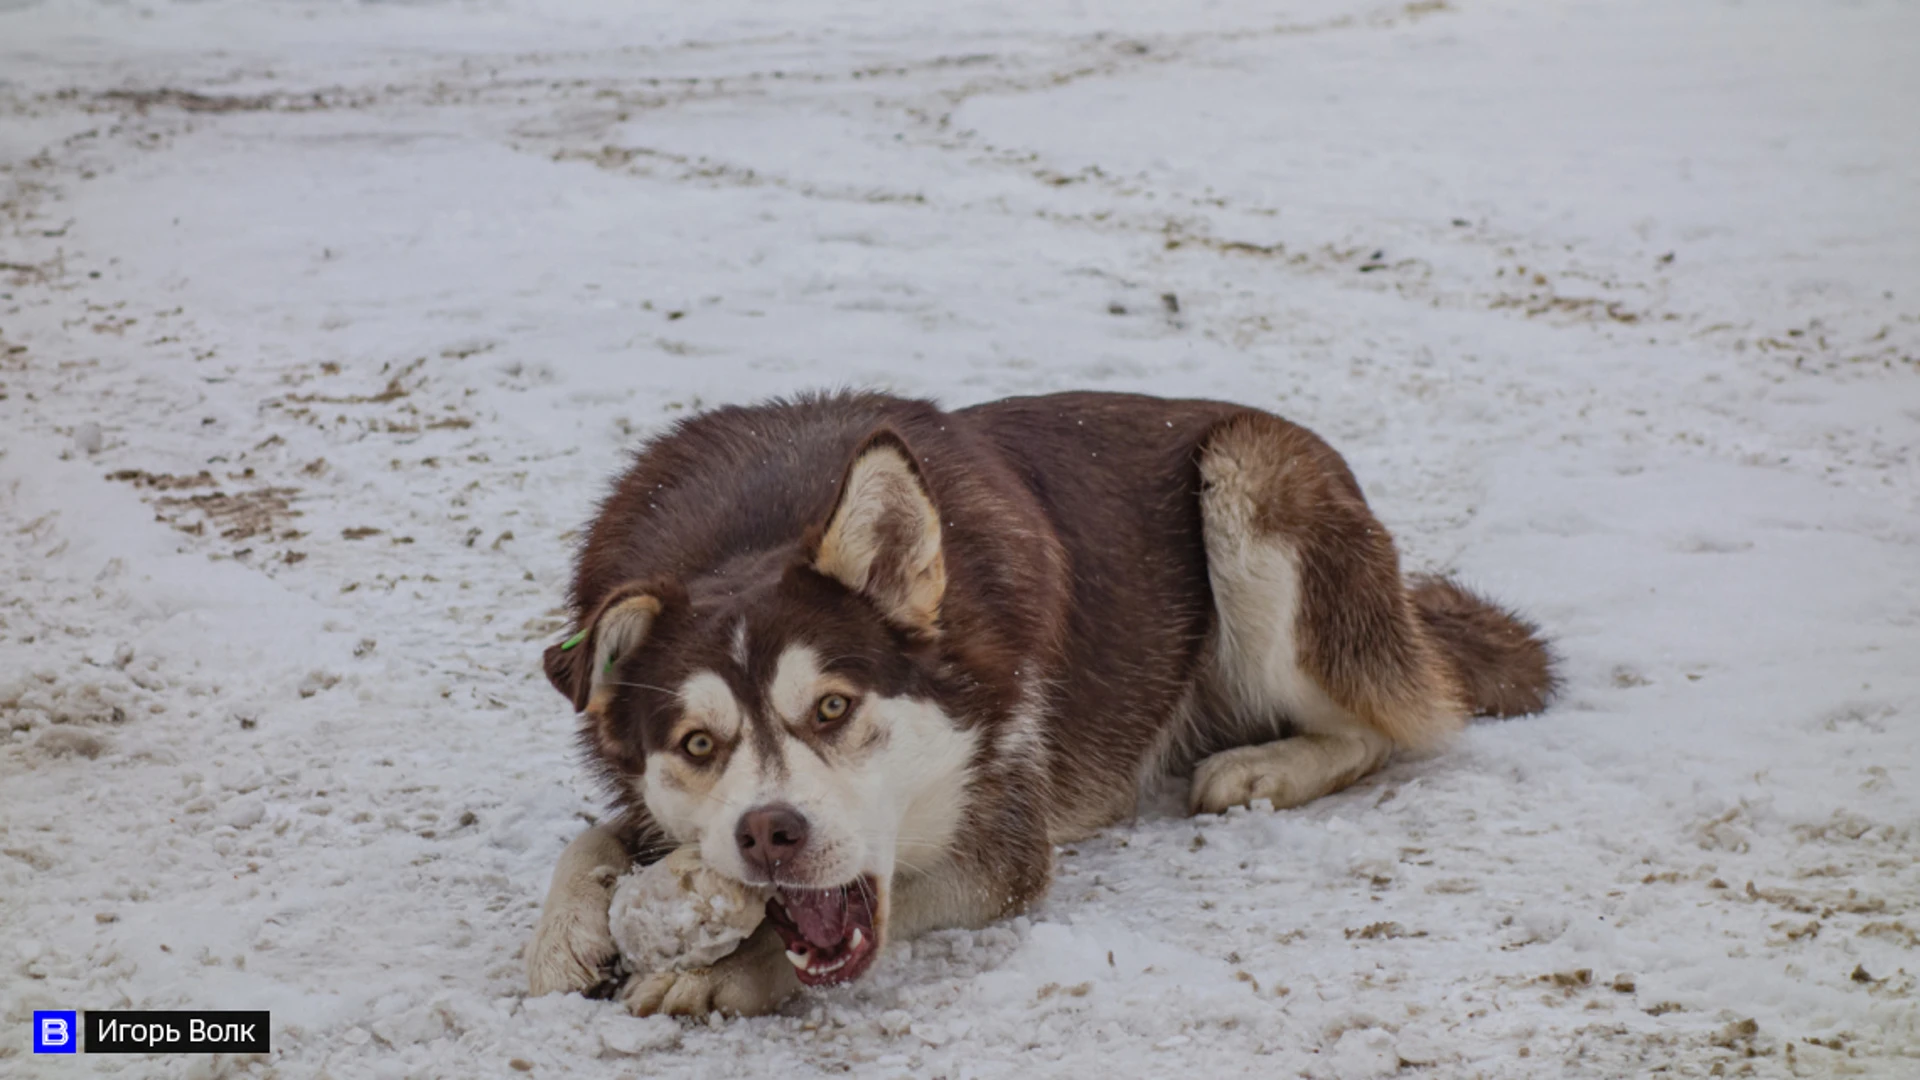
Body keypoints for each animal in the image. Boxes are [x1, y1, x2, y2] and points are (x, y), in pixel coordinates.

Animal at [526, 390, 1559, 1014]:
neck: (752, 527)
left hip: (1249, 478)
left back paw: (1263, 766)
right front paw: (565, 932)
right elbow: (595, 835)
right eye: (699, 745)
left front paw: (728, 972)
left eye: (831, 709)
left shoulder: (1003, 853)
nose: (769, 833)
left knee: (1398, 722)